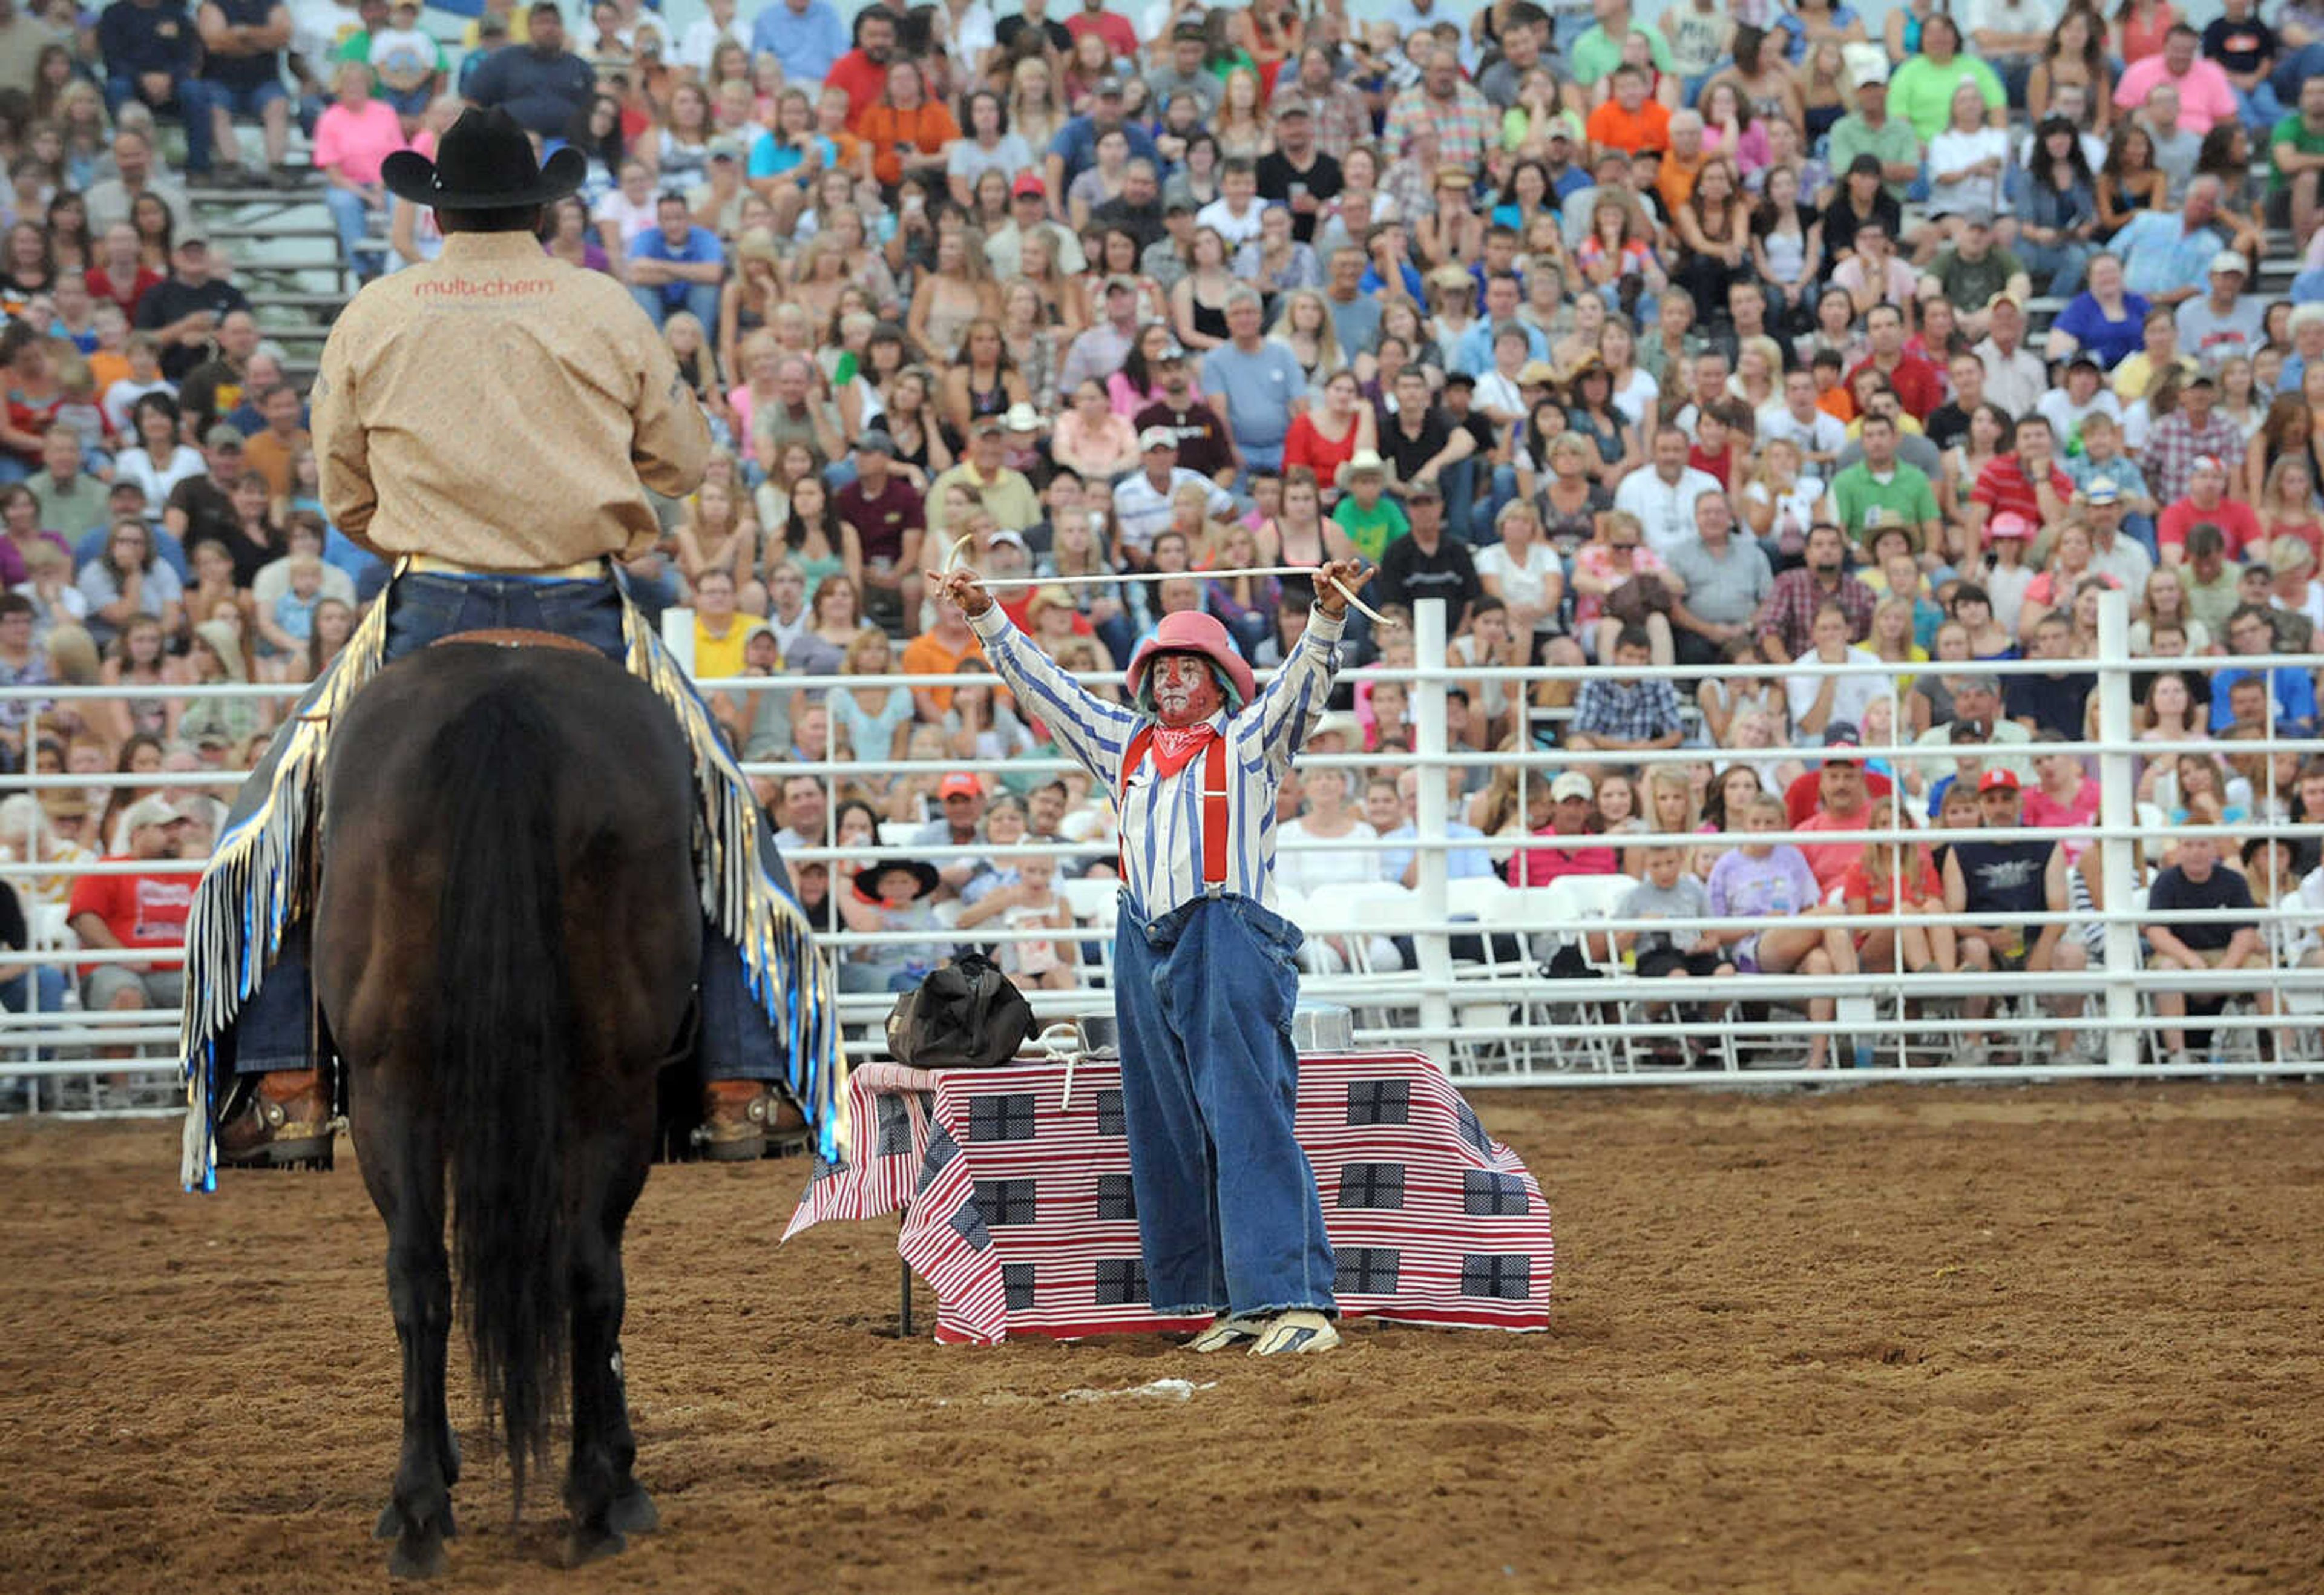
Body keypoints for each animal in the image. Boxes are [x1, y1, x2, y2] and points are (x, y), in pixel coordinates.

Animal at [313, 642, 701, 1580]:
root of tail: (504, 693)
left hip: (396, 1087)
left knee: (429, 1272)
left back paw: (431, 1505)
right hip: (597, 1088)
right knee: (573, 1270)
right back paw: (582, 1498)